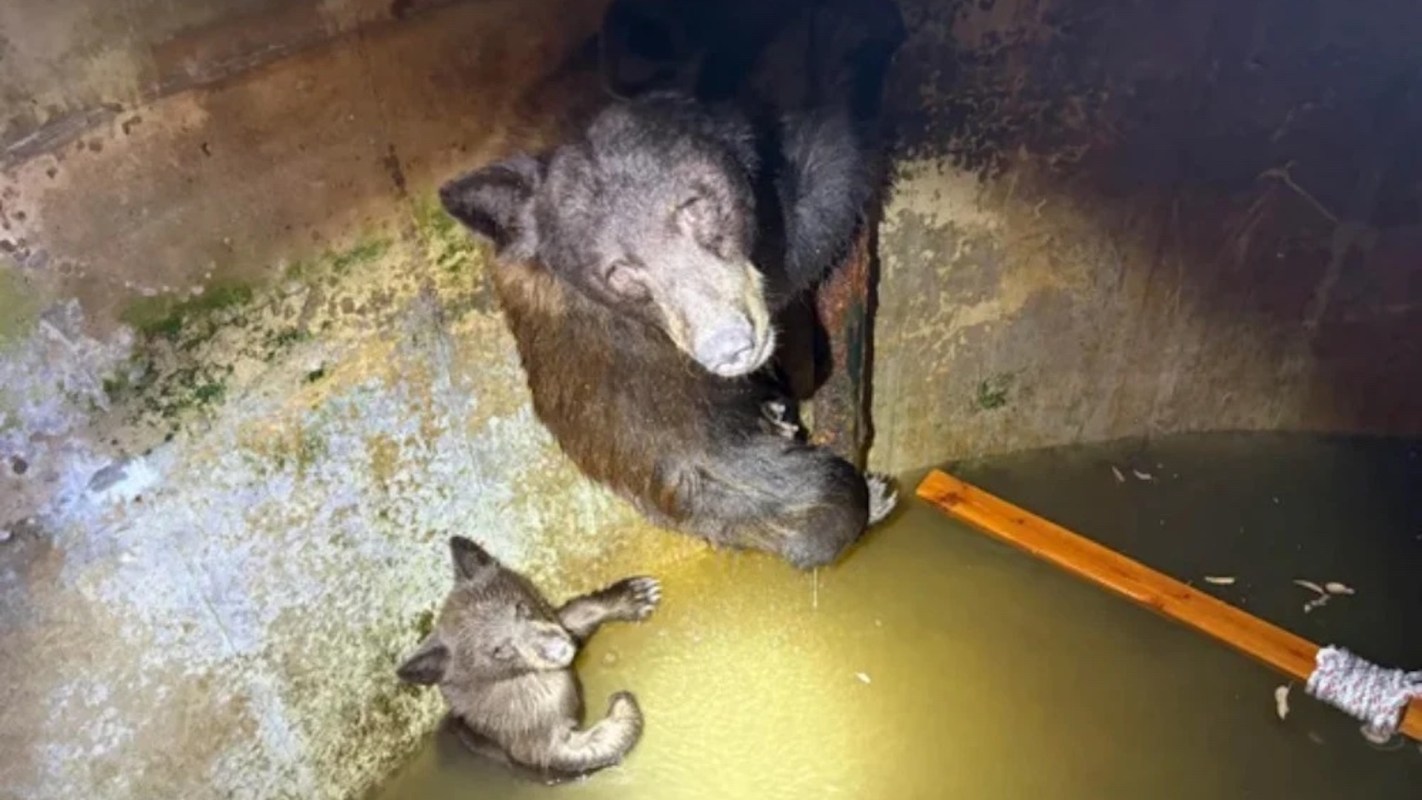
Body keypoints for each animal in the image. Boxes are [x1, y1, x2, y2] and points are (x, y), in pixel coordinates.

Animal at [397, 536, 661, 782]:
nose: (558, 649)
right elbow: (576, 752)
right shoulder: (527, 734)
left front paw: (636, 595)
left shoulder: (553, 621)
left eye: (520, 607)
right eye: (498, 649)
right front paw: (623, 705)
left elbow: (577, 614)